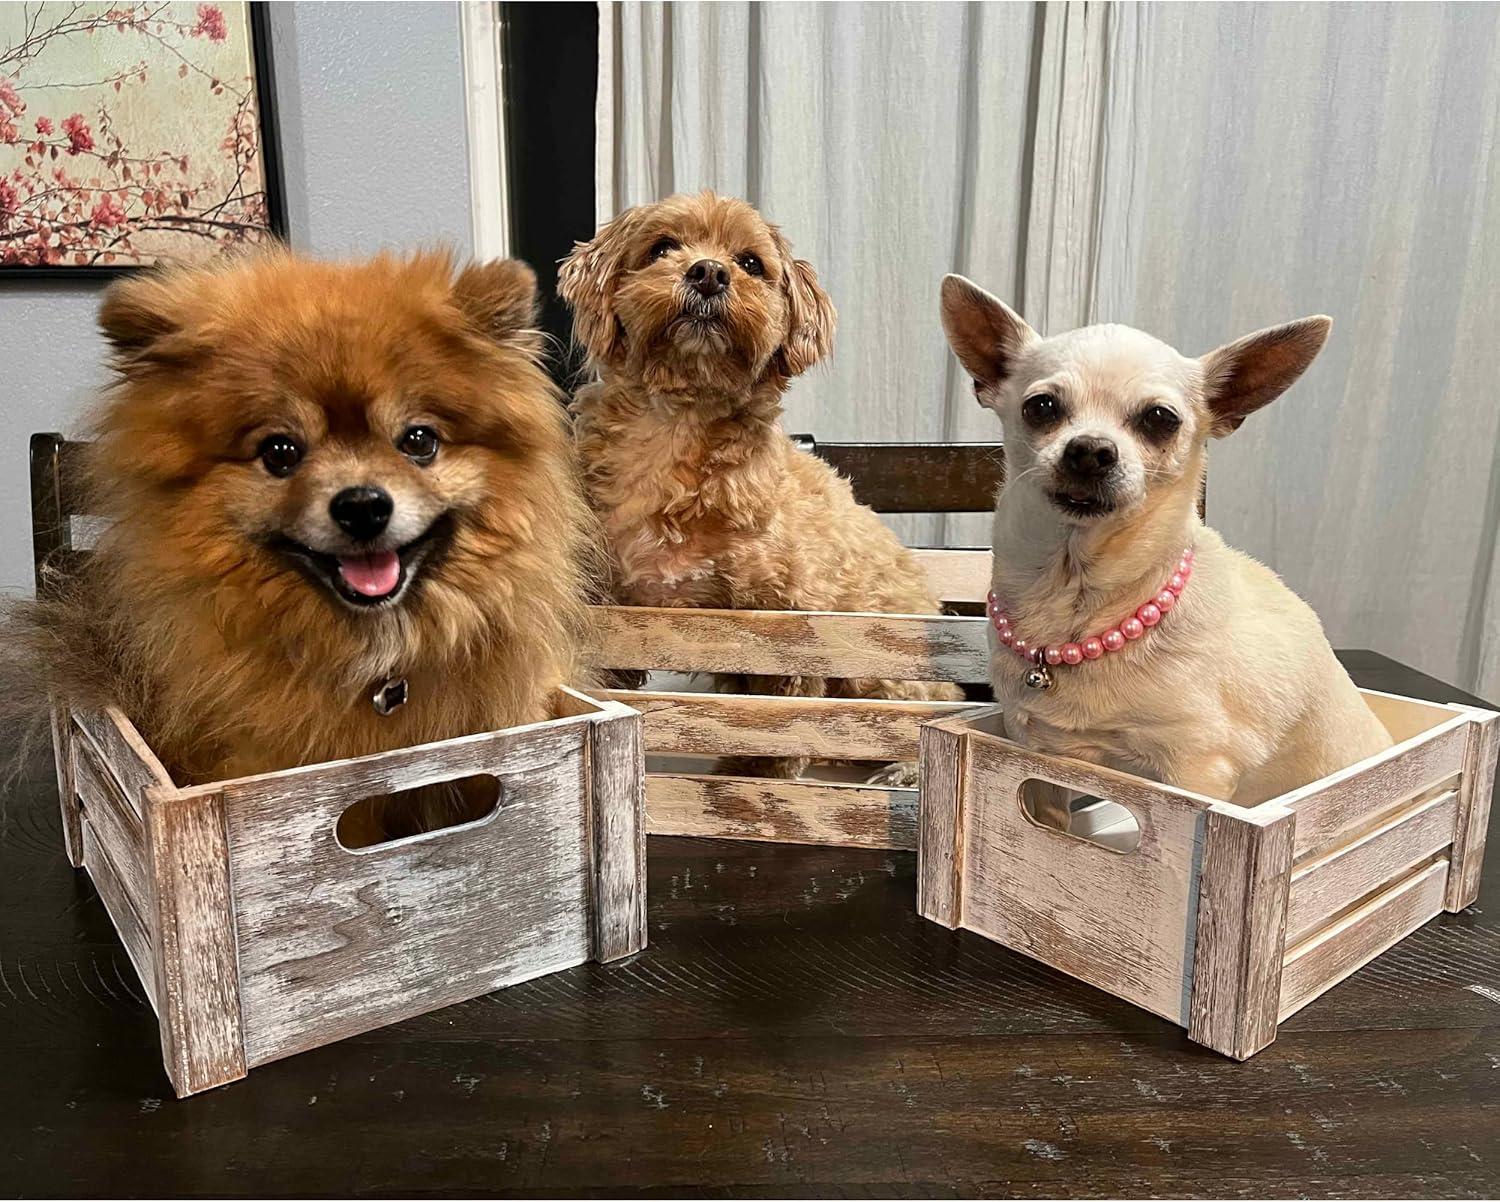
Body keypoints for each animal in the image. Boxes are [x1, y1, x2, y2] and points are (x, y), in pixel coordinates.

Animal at [564, 191, 960, 780]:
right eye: (662, 247)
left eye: (751, 263)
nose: (708, 273)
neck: (679, 430)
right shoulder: (619, 612)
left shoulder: (789, 619)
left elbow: (779, 715)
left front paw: (758, 778)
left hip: (882, 665)